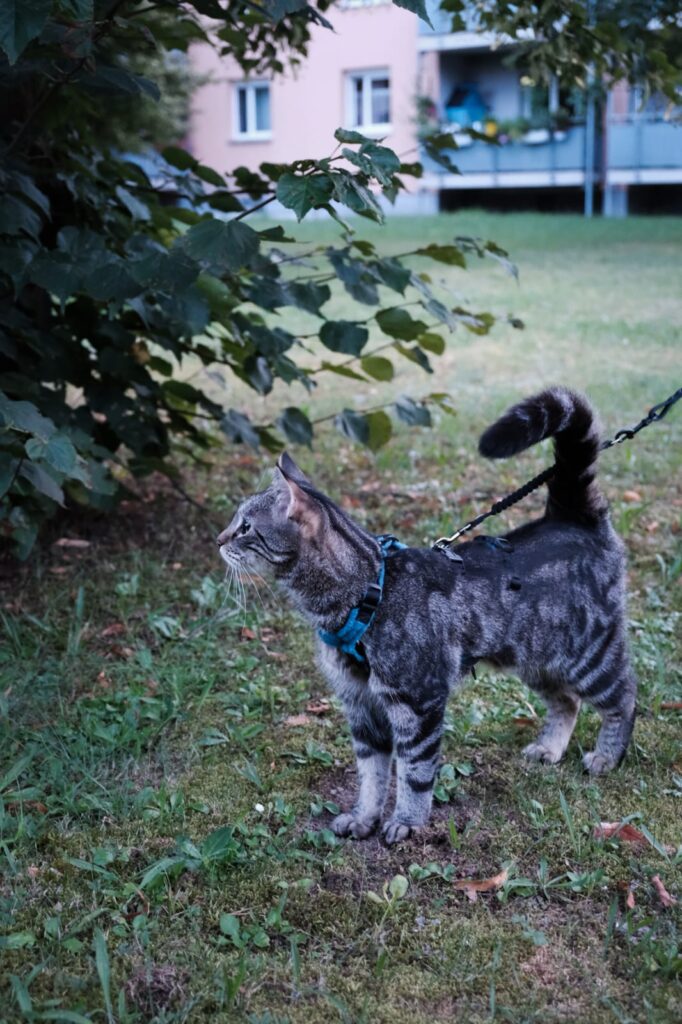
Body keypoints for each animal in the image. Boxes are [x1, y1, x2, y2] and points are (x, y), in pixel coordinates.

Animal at [219, 387, 638, 843]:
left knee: (624, 697)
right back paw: (550, 748)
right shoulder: (361, 706)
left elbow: (414, 771)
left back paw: (607, 756)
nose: (219, 539)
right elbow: (371, 775)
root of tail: (571, 517)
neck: (367, 592)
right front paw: (363, 817)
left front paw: (406, 821)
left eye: (245, 527)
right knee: (567, 702)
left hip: (587, 655)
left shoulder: (417, 702)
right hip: (536, 660)